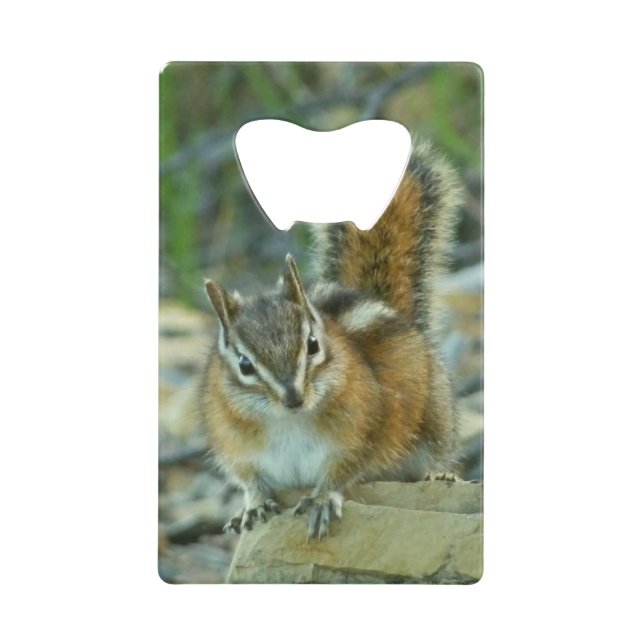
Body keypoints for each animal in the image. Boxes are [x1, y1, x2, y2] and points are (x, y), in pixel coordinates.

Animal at [200, 140, 463, 540]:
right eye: (244, 364)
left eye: (312, 345)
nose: (293, 398)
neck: (288, 422)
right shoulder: (235, 446)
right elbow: (249, 479)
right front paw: (253, 505)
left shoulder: (362, 432)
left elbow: (343, 471)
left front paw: (322, 499)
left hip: (435, 419)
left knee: (435, 454)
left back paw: (439, 473)